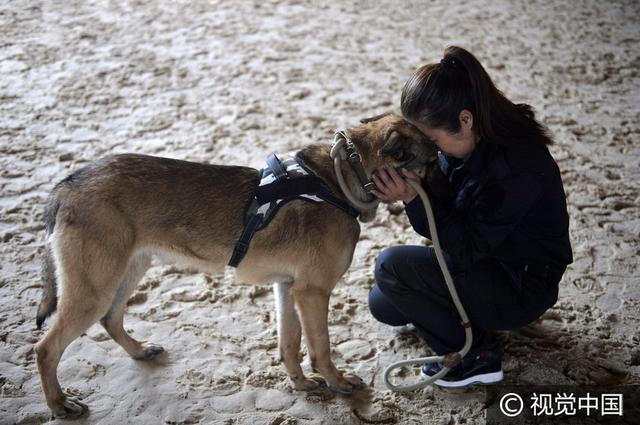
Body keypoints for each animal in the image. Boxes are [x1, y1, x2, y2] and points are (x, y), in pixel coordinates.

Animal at [33, 111, 436, 416]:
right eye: (430, 160)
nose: (444, 165)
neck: (339, 178)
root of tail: (69, 183)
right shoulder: (313, 293)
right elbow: (320, 347)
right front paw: (337, 383)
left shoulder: (289, 289)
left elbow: (289, 343)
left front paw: (300, 383)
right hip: (94, 288)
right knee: (46, 348)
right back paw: (59, 403)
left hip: (127, 272)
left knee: (111, 319)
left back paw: (138, 351)